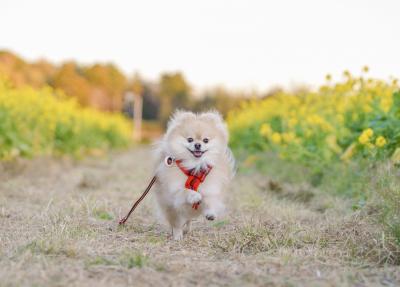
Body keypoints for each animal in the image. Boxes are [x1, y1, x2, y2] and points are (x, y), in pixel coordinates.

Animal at [153, 110, 234, 241]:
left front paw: (210, 213)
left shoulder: (211, 188)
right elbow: (185, 191)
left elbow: (210, 200)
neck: (195, 167)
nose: (197, 145)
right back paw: (178, 236)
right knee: (177, 224)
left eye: (206, 140)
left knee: (188, 221)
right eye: (190, 139)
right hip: (172, 210)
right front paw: (195, 196)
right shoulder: (173, 193)